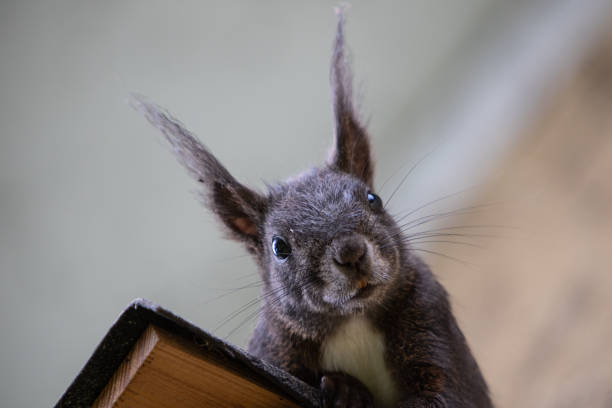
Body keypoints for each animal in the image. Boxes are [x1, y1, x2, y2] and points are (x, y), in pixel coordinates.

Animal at [134, 7, 492, 408]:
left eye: (373, 199)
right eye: (279, 247)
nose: (351, 253)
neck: (352, 321)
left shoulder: (431, 318)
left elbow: (447, 396)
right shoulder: (275, 351)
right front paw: (347, 390)